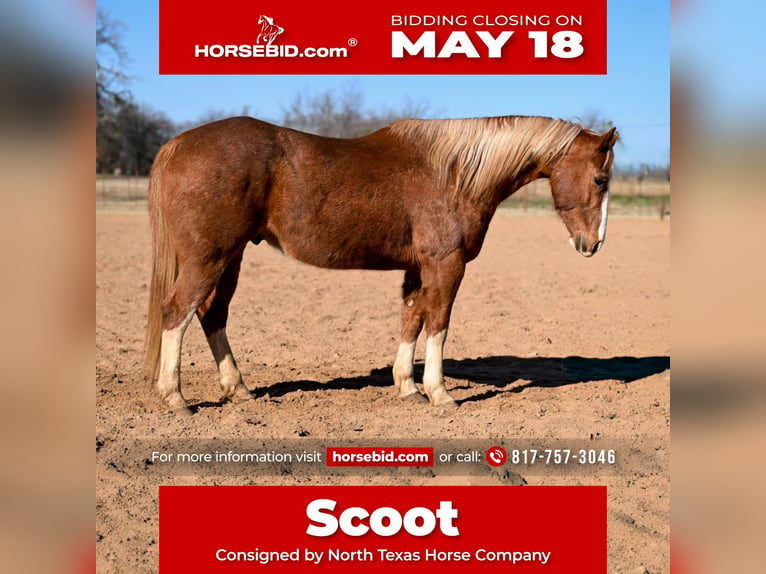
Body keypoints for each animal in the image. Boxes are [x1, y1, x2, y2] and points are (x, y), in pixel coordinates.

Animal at [145, 115, 618, 415]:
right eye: (600, 179)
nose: (594, 243)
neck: (453, 174)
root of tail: (177, 144)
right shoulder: (446, 265)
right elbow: (438, 324)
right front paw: (439, 394)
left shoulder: (417, 270)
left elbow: (411, 320)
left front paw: (408, 387)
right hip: (210, 257)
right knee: (177, 312)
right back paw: (175, 397)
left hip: (232, 257)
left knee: (212, 315)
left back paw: (239, 390)